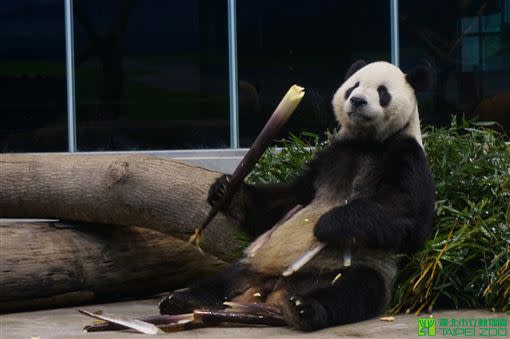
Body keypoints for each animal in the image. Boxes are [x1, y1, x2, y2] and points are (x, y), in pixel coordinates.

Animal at [158, 61, 434, 332]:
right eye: (353, 86)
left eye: (382, 92)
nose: (357, 100)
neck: (366, 142)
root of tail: (271, 292)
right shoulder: (328, 158)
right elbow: (286, 200)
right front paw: (225, 190)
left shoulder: (405, 155)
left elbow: (408, 219)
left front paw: (330, 224)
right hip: (252, 266)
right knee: (222, 281)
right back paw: (181, 300)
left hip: (360, 270)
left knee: (353, 291)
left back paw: (304, 309)